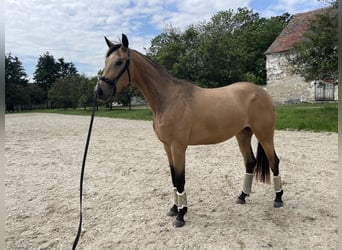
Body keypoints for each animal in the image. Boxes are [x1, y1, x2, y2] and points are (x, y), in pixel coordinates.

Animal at [95, 34, 284, 228]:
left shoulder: (178, 147)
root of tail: (262, 92)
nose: (99, 91)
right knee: (250, 162)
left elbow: (180, 180)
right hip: (243, 134)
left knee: (274, 161)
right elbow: (173, 178)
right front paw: (174, 209)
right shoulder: (167, 147)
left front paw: (181, 215)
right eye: (106, 60)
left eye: (119, 62)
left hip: (265, 135)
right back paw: (242, 196)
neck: (168, 99)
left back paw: (278, 199)